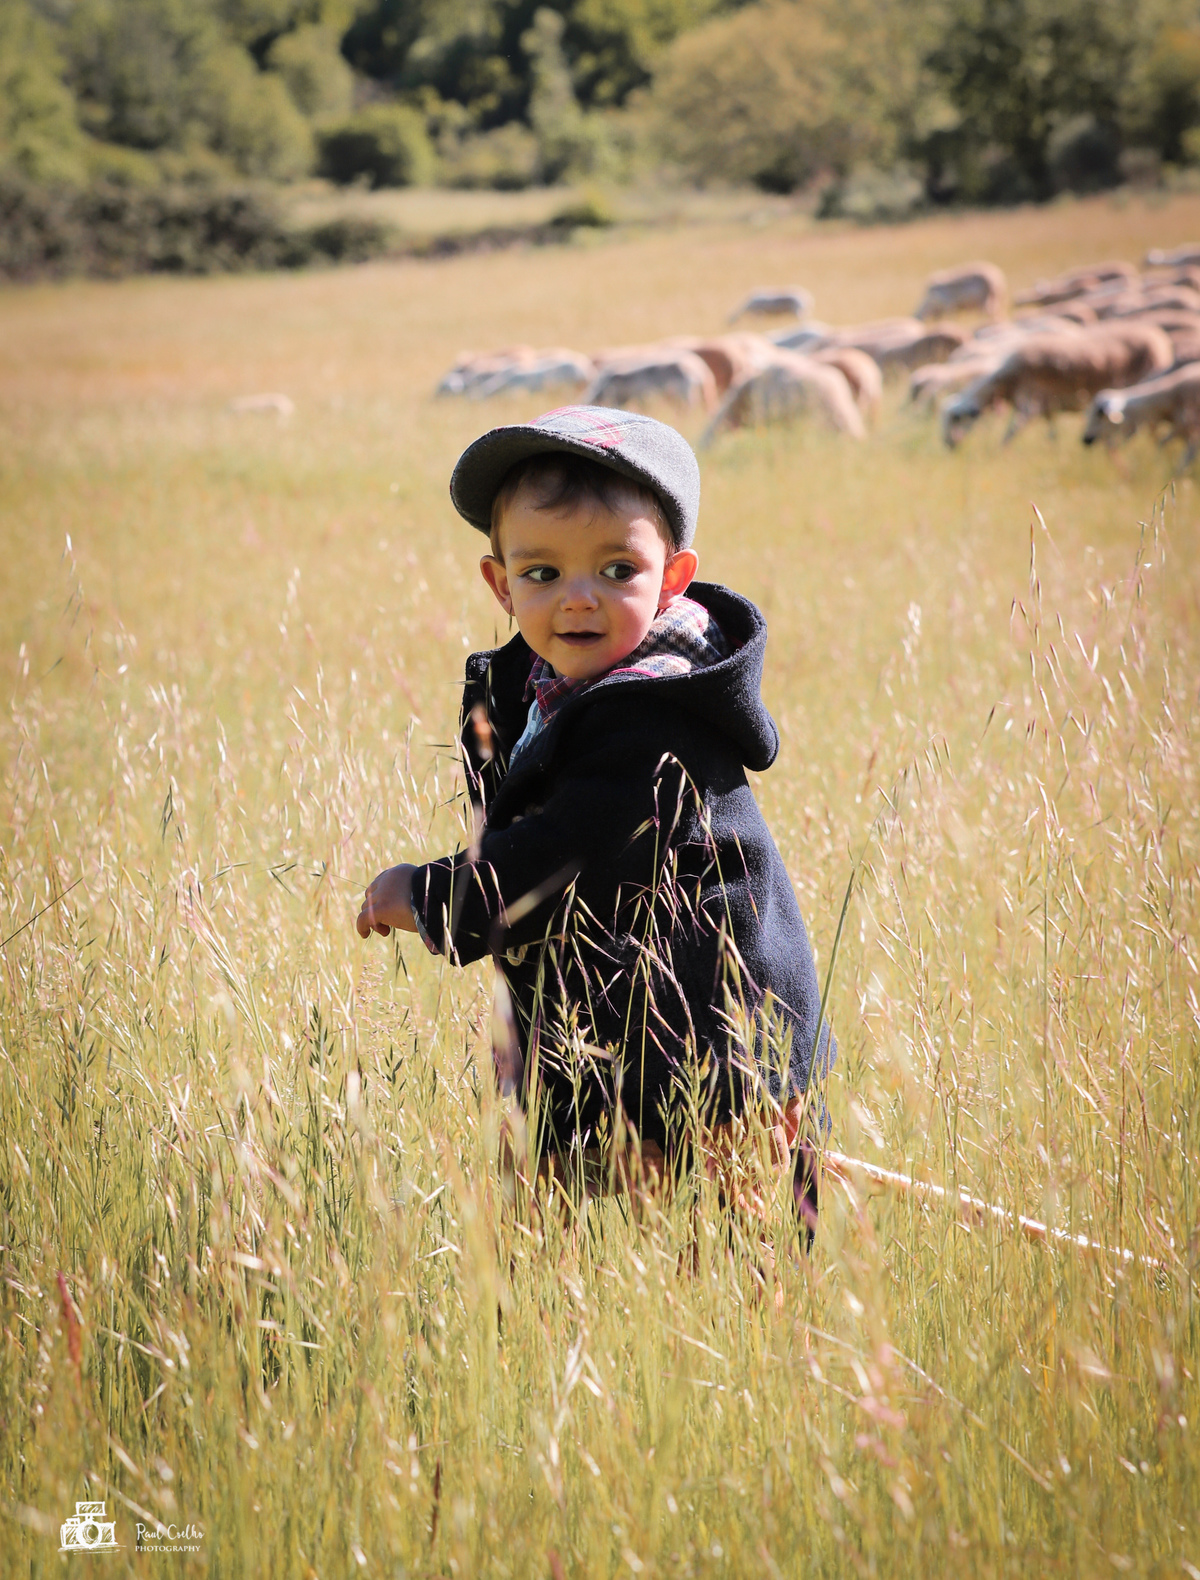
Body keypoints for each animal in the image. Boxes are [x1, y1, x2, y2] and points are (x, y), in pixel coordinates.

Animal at [941, 323, 1174, 447]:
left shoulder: (1029, 404)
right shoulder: (1046, 408)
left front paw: (998, 452)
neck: (1005, 379)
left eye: (955, 418)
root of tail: (1157, 335)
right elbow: (1052, 434)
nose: (948, 446)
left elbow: (1010, 433)